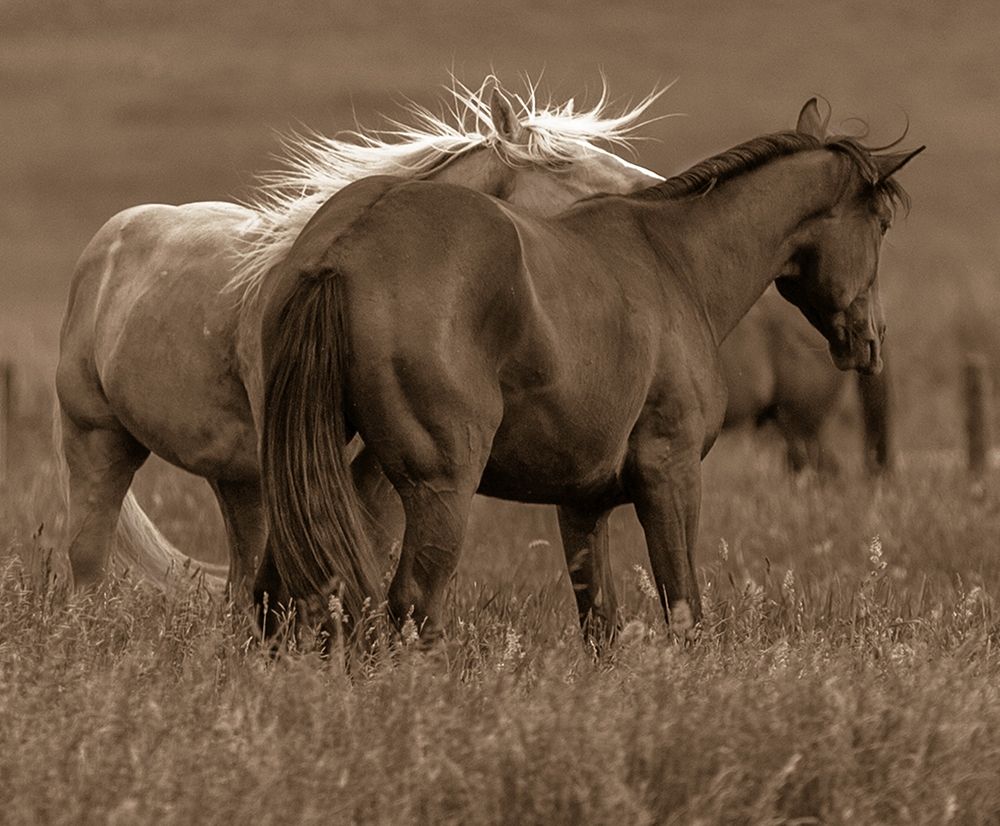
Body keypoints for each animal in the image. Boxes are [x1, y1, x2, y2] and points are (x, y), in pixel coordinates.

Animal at [52, 79, 664, 600]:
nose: (657, 191)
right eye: (564, 163)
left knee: (242, 571)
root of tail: (112, 236)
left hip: (235, 476)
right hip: (99, 442)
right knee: (88, 560)